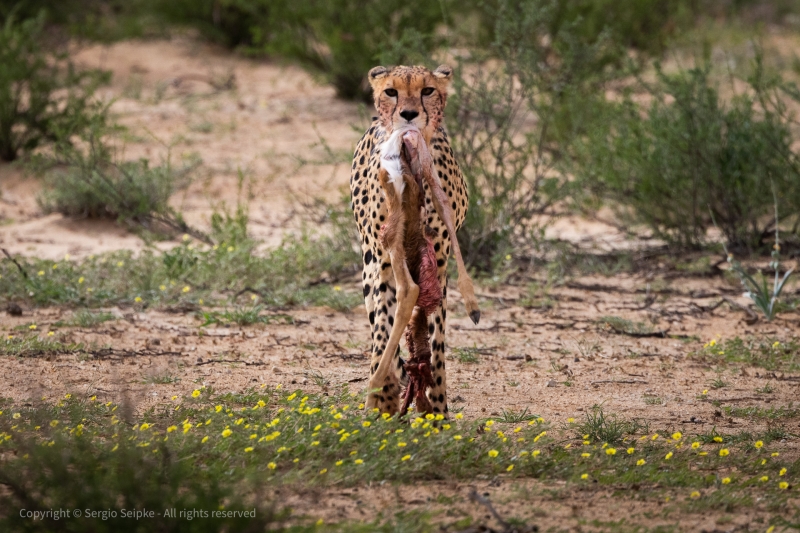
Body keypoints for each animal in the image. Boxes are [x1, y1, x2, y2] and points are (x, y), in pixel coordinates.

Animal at [348, 65, 476, 416]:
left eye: (427, 90)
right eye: (391, 91)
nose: (408, 115)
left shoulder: (438, 259)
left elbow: (435, 337)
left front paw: (436, 409)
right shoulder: (385, 258)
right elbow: (387, 326)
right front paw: (385, 399)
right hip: (378, 260)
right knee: (393, 307)